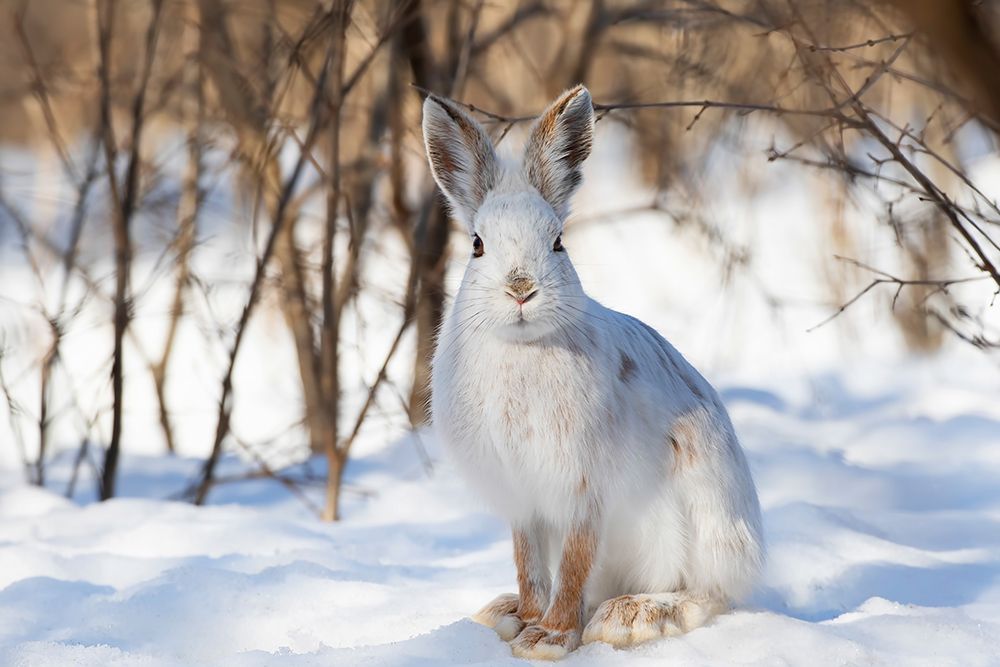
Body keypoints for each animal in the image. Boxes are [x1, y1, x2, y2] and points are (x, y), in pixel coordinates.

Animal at [422, 84, 764, 661]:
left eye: (558, 240)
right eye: (477, 244)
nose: (521, 289)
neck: (523, 347)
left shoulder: (584, 487)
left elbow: (575, 561)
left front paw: (550, 638)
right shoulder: (524, 498)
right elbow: (529, 563)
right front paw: (529, 620)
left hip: (703, 513)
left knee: (711, 592)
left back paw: (635, 616)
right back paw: (503, 612)